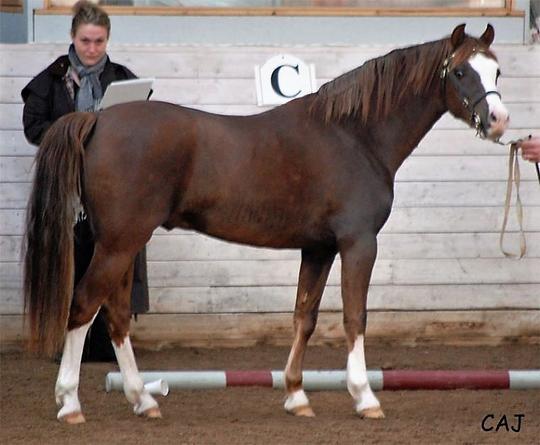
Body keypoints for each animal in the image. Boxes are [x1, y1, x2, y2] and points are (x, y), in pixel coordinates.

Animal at [24, 25, 506, 424]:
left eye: (497, 70)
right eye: (460, 71)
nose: (499, 120)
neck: (354, 135)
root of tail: (98, 118)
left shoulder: (319, 248)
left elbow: (304, 316)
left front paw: (296, 395)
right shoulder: (358, 243)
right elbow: (355, 316)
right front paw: (365, 396)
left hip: (123, 244)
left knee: (117, 315)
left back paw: (143, 400)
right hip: (119, 243)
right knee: (83, 307)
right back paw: (70, 403)